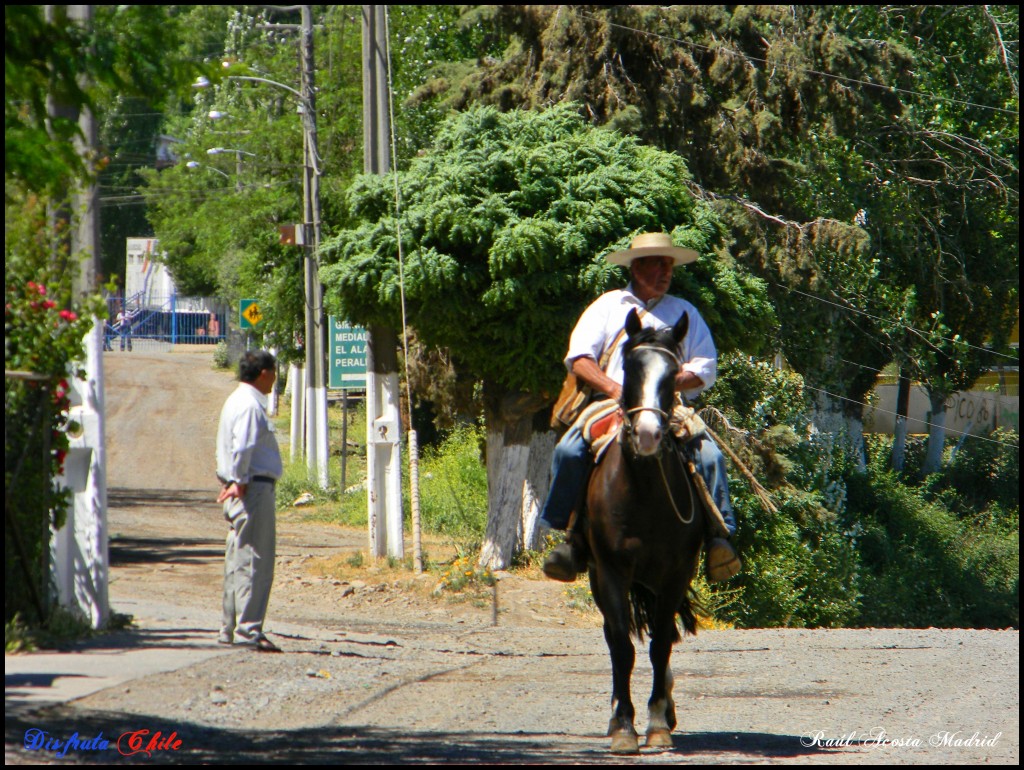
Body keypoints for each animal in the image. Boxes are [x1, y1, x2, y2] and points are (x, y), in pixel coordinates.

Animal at [585, 305, 704, 753]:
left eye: (673, 375)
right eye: (631, 368)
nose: (650, 434)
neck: (643, 492)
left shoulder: (675, 574)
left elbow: (660, 645)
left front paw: (657, 722)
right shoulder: (612, 572)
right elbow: (622, 645)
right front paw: (623, 725)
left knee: (660, 634)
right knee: (613, 634)